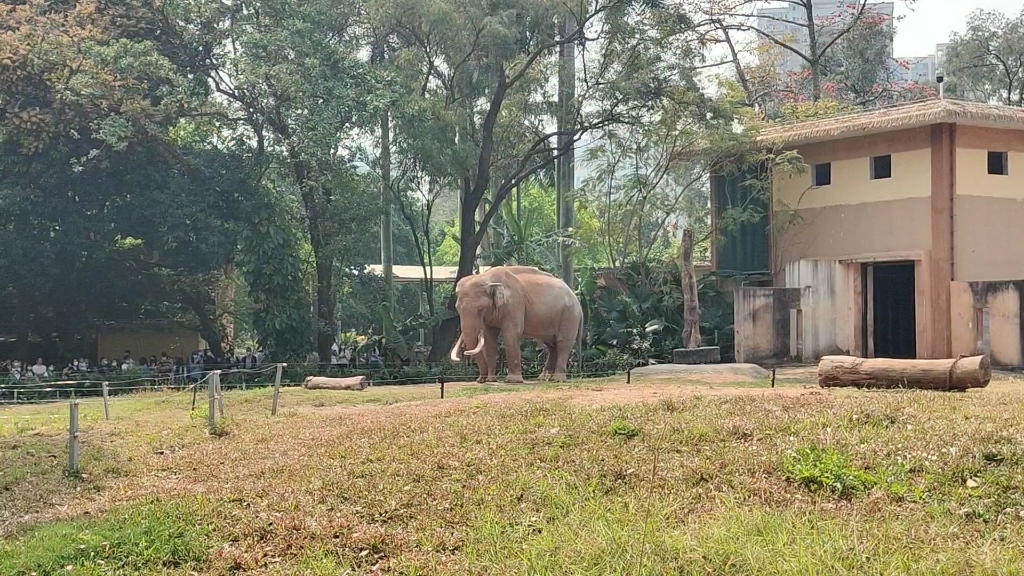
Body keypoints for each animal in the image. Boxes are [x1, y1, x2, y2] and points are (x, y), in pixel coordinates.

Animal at [448, 265, 583, 383]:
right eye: (457, 308)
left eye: (481, 309)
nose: (480, 380)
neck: (486, 277)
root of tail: (577, 300)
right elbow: (489, 338)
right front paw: (490, 380)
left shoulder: (514, 303)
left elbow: (511, 334)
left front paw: (512, 381)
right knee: (551, 345)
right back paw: (544, 378)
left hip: (569, 315)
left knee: (562, 343)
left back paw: (557, 379)